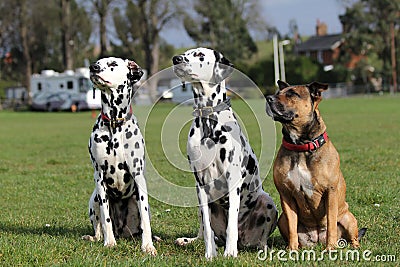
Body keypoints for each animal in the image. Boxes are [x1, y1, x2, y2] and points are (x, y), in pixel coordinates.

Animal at [81, 57, 156, 256]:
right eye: (97, 62)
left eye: (113, 64)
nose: (93, 67)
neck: (114, 124)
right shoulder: (99, 178)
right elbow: (106, 218)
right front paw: (110, 242)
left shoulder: (138, 175)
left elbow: (146, 221)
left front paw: (148, 246)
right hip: (94, 200)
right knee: (98, 228)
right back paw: (95, 237)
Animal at [172, 48, 278, 260]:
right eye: (186, 53)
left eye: (200, 55)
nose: (176, 59)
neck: (208, 121)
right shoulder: (200, 185)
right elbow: (207, 230)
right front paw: (210, 254)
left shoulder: (232, 180)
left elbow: (231, 226)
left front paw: (230, 252)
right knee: (205, 231)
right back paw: (188, 241)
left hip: (268, 202)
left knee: (259, 239)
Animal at [266, 81, 366, 251]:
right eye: (278, 92)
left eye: (292, 94)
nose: (268, 98)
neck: (301, 146)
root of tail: (317, 238)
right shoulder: (286, 194)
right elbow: (292, 226)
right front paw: (291, 249)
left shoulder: (330, 192)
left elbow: (331, 223)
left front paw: (330, 248)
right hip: (281, 219)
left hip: (349, 218)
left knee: (353, 236)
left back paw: (353, 247)